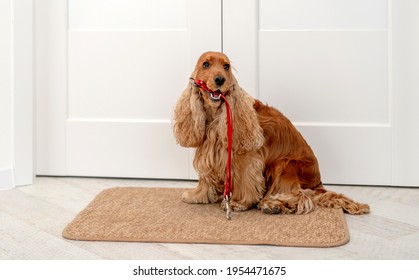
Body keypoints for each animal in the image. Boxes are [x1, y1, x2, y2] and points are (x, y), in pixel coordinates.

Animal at [172, 51, 370, 215]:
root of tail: (318, 183)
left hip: (284, 165)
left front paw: (239, 202)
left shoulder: (247, 157)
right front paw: (197, 195)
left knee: (301, 195)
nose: (220, 79)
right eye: (205, 64)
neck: (215, 115)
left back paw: (273, 204)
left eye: (226, 66)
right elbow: (205, 177)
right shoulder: (208, 150)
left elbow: (245, 179)